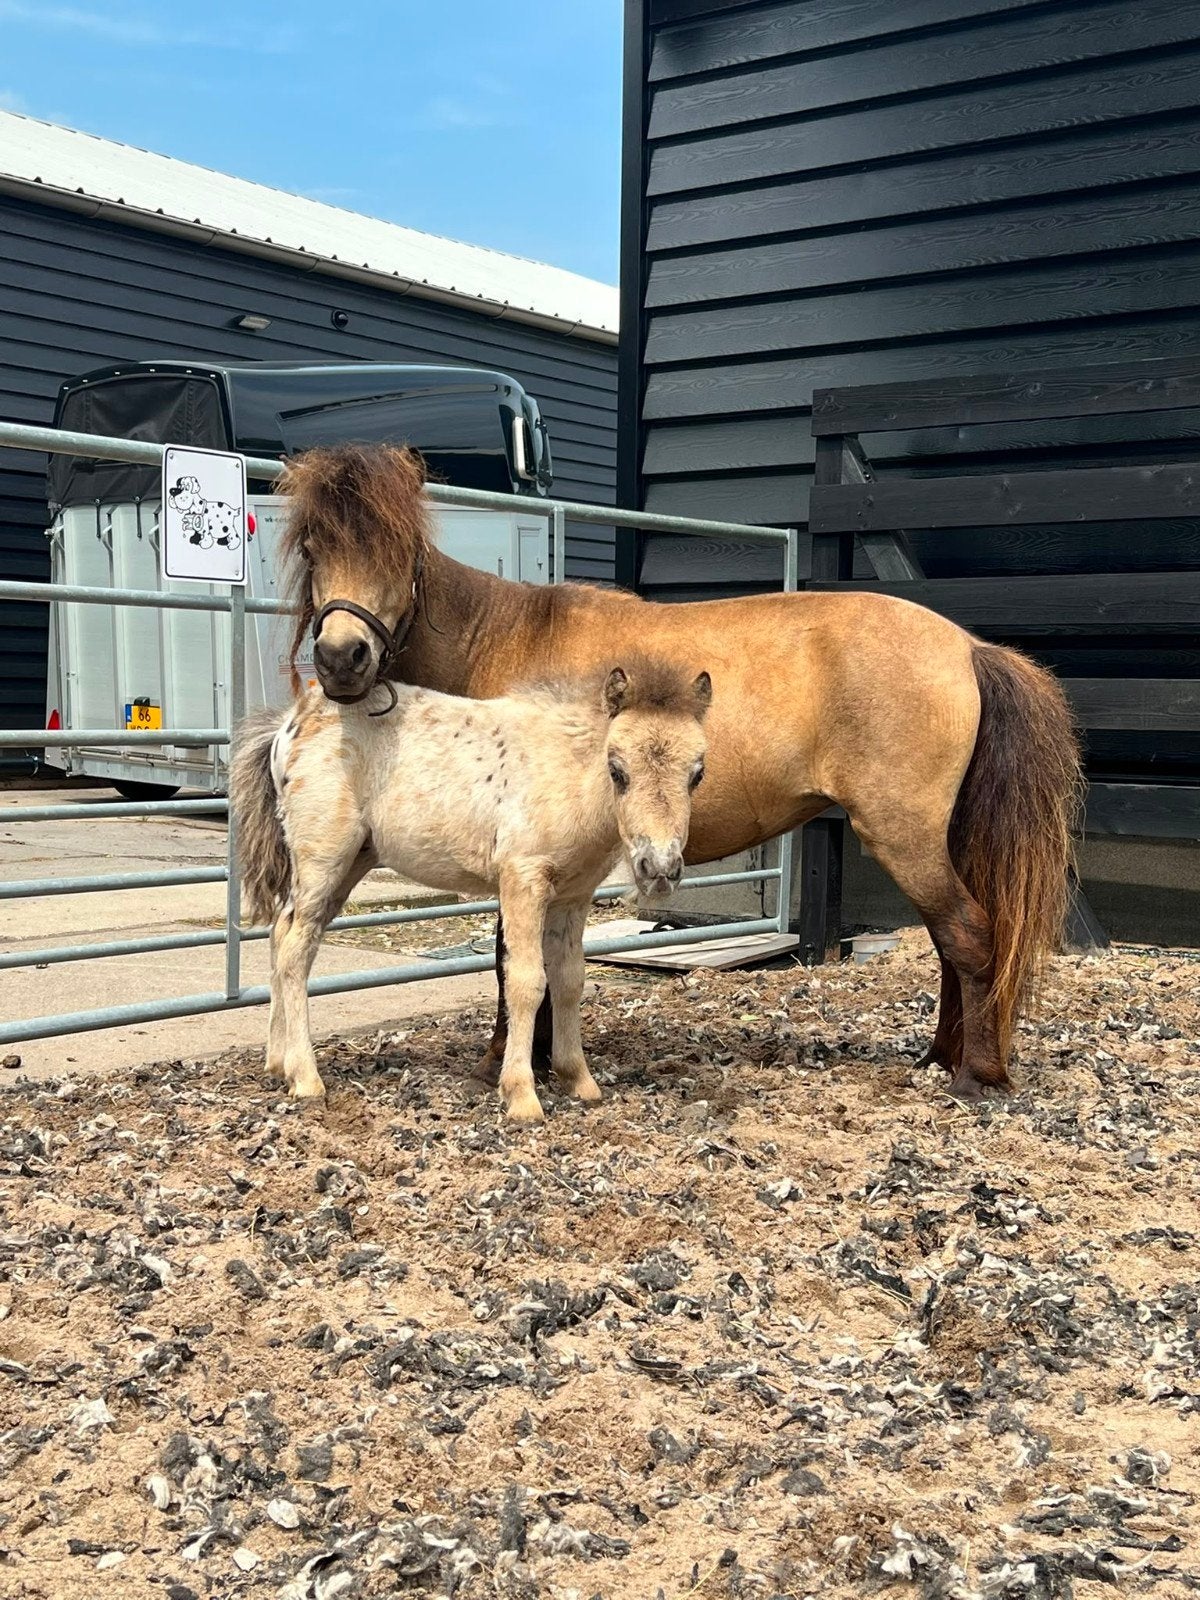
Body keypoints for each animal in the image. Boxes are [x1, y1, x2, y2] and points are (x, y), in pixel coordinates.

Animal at [229, 657, 711, 1124]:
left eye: (697, 775)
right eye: (617, 770)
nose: (660, 868)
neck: (566, 770)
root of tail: (292, 721)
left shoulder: (573, 897)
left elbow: (570, 979)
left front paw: (580, 1080)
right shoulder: (522, 881)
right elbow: (527, 981)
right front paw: (521, 1096)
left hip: (351, 863)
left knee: (281, 933)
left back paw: (278, 1064)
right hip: (323, 860)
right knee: (295, 949)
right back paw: (306, 1077)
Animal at [274, 444, 1082, 1103]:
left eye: (398, 544)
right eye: (313, 542)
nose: (342, 659)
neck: (501, 638)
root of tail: (968, 647)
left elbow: (512, 963)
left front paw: (507, 1062)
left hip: (902, 832)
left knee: (968, 935)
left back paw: (974, 1075)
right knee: (952, 940)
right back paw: (938, 1057)